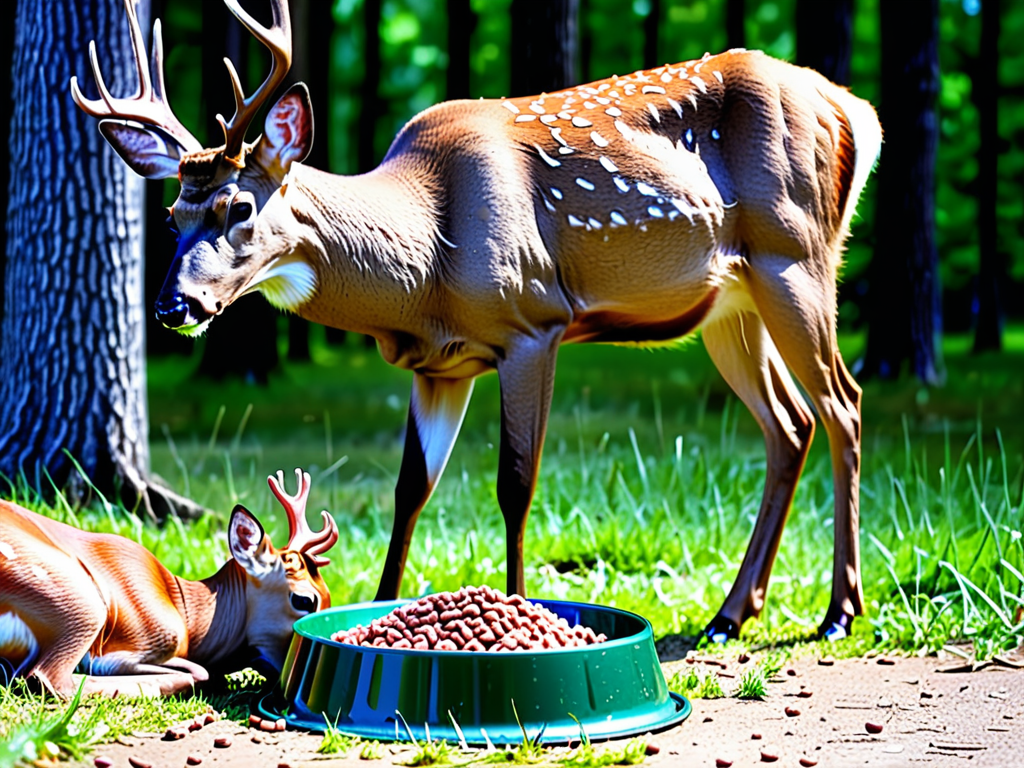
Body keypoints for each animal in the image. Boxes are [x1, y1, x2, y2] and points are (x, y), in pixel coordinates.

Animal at [0, 469, 338, 697]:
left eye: (329, 595)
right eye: (303, 599)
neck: (187, 613)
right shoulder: (137, 641)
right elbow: (197, 671)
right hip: (81, 603)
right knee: (48, 678)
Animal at [71, 0, 881, 643]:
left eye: (238, 206)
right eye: (170, 216)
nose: (174, 306)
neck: (426, 259)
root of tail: (853, 110)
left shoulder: (533, 322)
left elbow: (514, 483)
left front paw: (523, 610)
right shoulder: (441, 364)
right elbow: (410, 491)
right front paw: (379, 611)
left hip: (796, 254)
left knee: (843, 402)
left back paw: (838, 612)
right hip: (730, 303)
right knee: (789, 423)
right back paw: (730, 614)